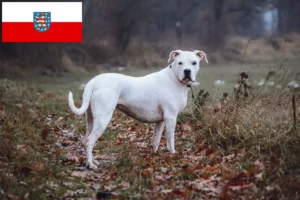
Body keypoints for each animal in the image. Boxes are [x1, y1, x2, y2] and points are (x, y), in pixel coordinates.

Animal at [69, 50, 207, 169]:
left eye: (194, 63)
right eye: (180, 63)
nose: (187, 71)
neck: (174, 78)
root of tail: (94, 81)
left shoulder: (161, 121)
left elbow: (156, 140)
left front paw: (154, 155)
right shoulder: (171, 117)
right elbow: (170, 138)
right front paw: (173, 154)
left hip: (91, 119)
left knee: (85, 139)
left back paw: (92, 161)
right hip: (103, 119)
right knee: (89, 141)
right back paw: (91, 165)